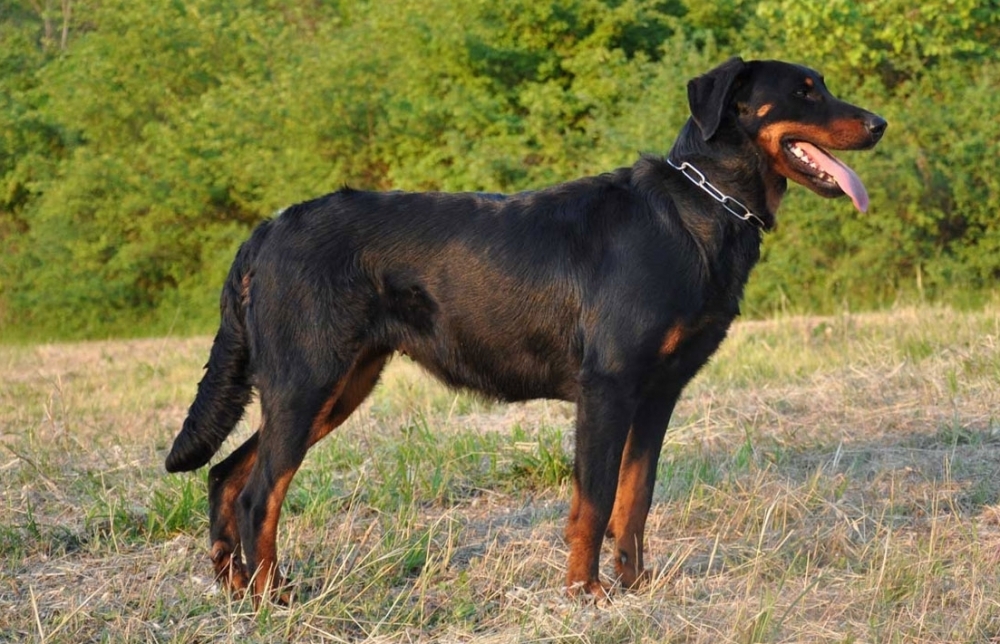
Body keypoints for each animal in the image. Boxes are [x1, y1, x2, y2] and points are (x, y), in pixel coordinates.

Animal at [168, 57, 888, 600]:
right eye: (805, 90)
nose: (880, 123)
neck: (698, 209)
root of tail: (266, 230)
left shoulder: (657, 397)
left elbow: (635, 500)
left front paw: (635, 586)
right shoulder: (608, 390)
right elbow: (594, 503)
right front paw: (585, 593)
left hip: (332, 388)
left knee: (226, 477)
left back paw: (235, 589)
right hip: (308, 382)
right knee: (258, 495)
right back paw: (272, 597)